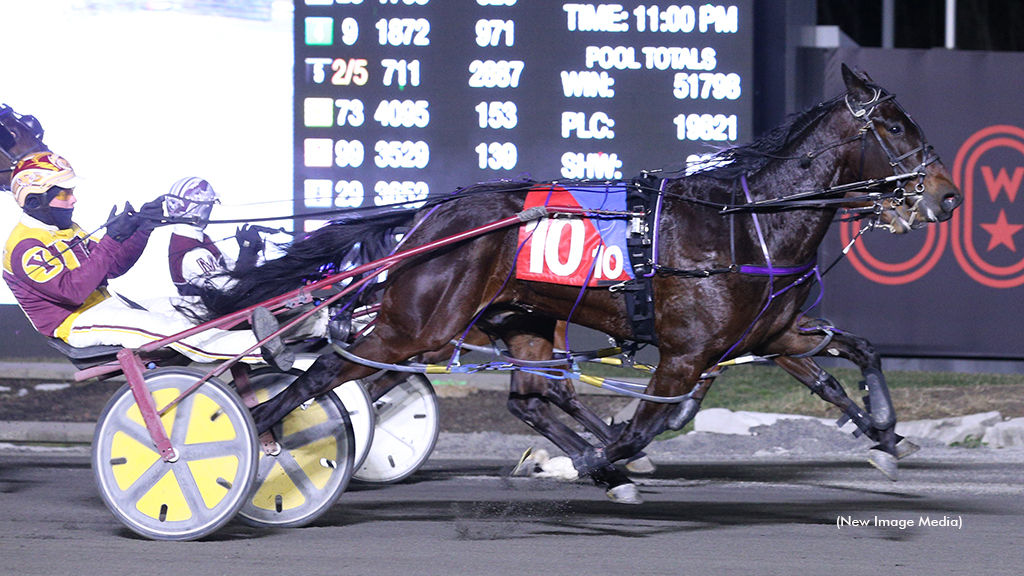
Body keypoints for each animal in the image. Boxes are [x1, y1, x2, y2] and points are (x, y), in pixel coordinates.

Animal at [197, 66, 958, 498]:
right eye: (895, 127)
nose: (946, 197)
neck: (743, 225)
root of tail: (435, 212)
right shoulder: (687, 354)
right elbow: (652, 421)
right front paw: (605, 460)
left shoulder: (772, 332)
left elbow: (851, 356)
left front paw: (887, 436)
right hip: (416, 325)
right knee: (329, 373)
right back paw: (250, 437)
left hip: (513, 321)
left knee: (525, 398)